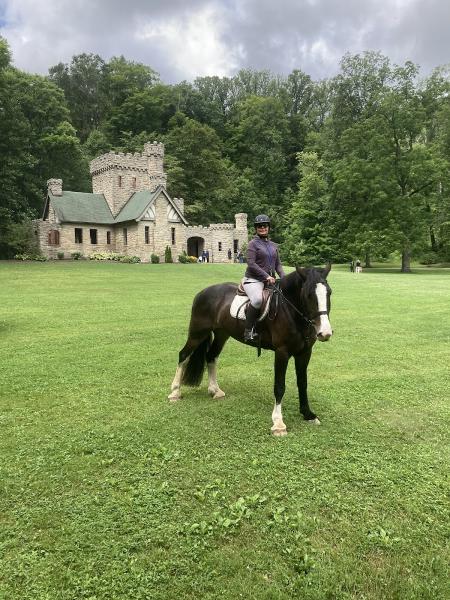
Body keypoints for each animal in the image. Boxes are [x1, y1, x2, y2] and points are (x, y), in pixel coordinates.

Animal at [167, 264, 332, 434]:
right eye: (308, 295)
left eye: (329, 292)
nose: (325, 333)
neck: (289, 311)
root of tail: (202, 293)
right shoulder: (282, 352)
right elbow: (279, 386)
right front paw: (278, 423)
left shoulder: (305, 353)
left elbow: (303, 383)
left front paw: (308, 414)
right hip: (197, 333)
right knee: (183, 356)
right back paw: (175, 392)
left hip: (222, 334)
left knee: (211, 357)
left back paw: (215, 390)